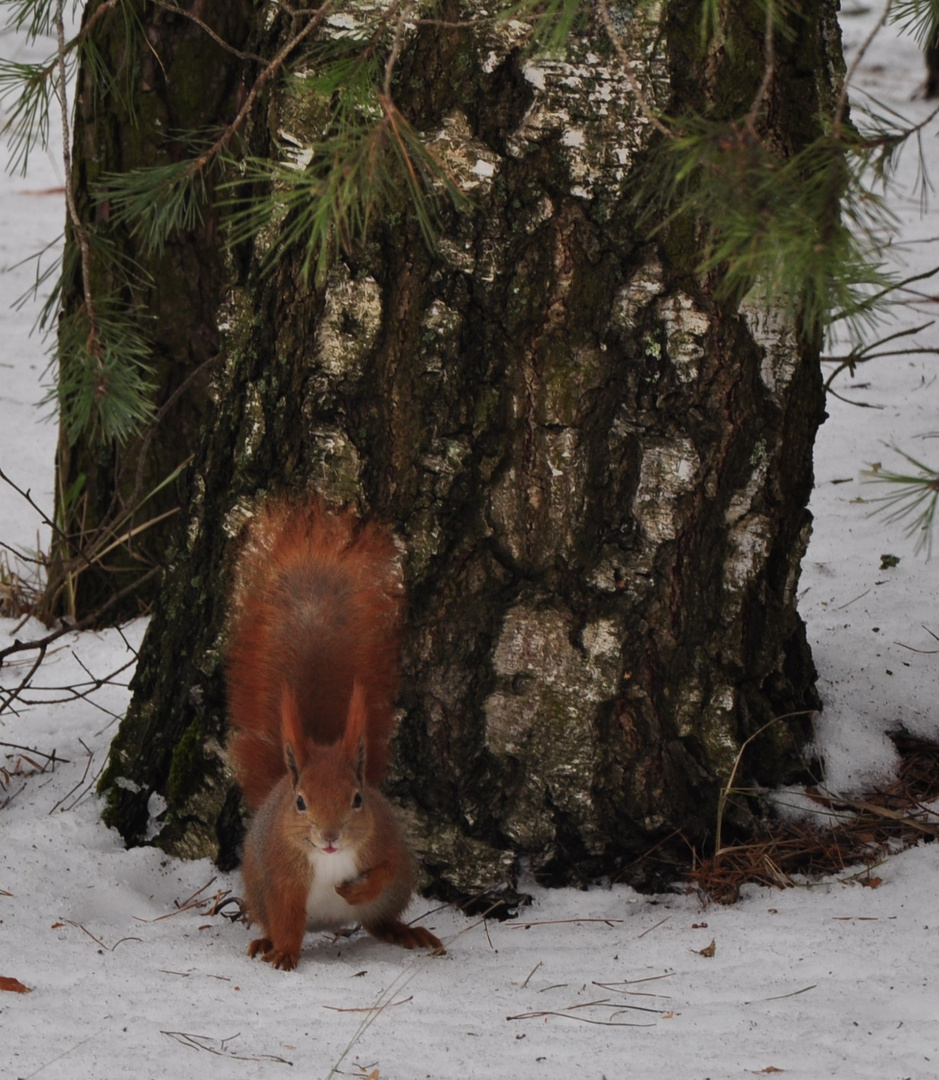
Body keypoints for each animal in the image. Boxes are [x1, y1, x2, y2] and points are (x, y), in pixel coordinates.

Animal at [229, 498, 445, 972]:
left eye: (358, 799)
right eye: (300, 802)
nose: (330, 837)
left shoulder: (385, 842)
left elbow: (384, 868)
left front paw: (355, 888)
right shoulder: (282, 877)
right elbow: (288, 919)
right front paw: (284, 953)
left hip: (395, 894)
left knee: (379, 920)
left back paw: (407, 932)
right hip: (257, 886)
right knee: (275, 920)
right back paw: (264, 942)